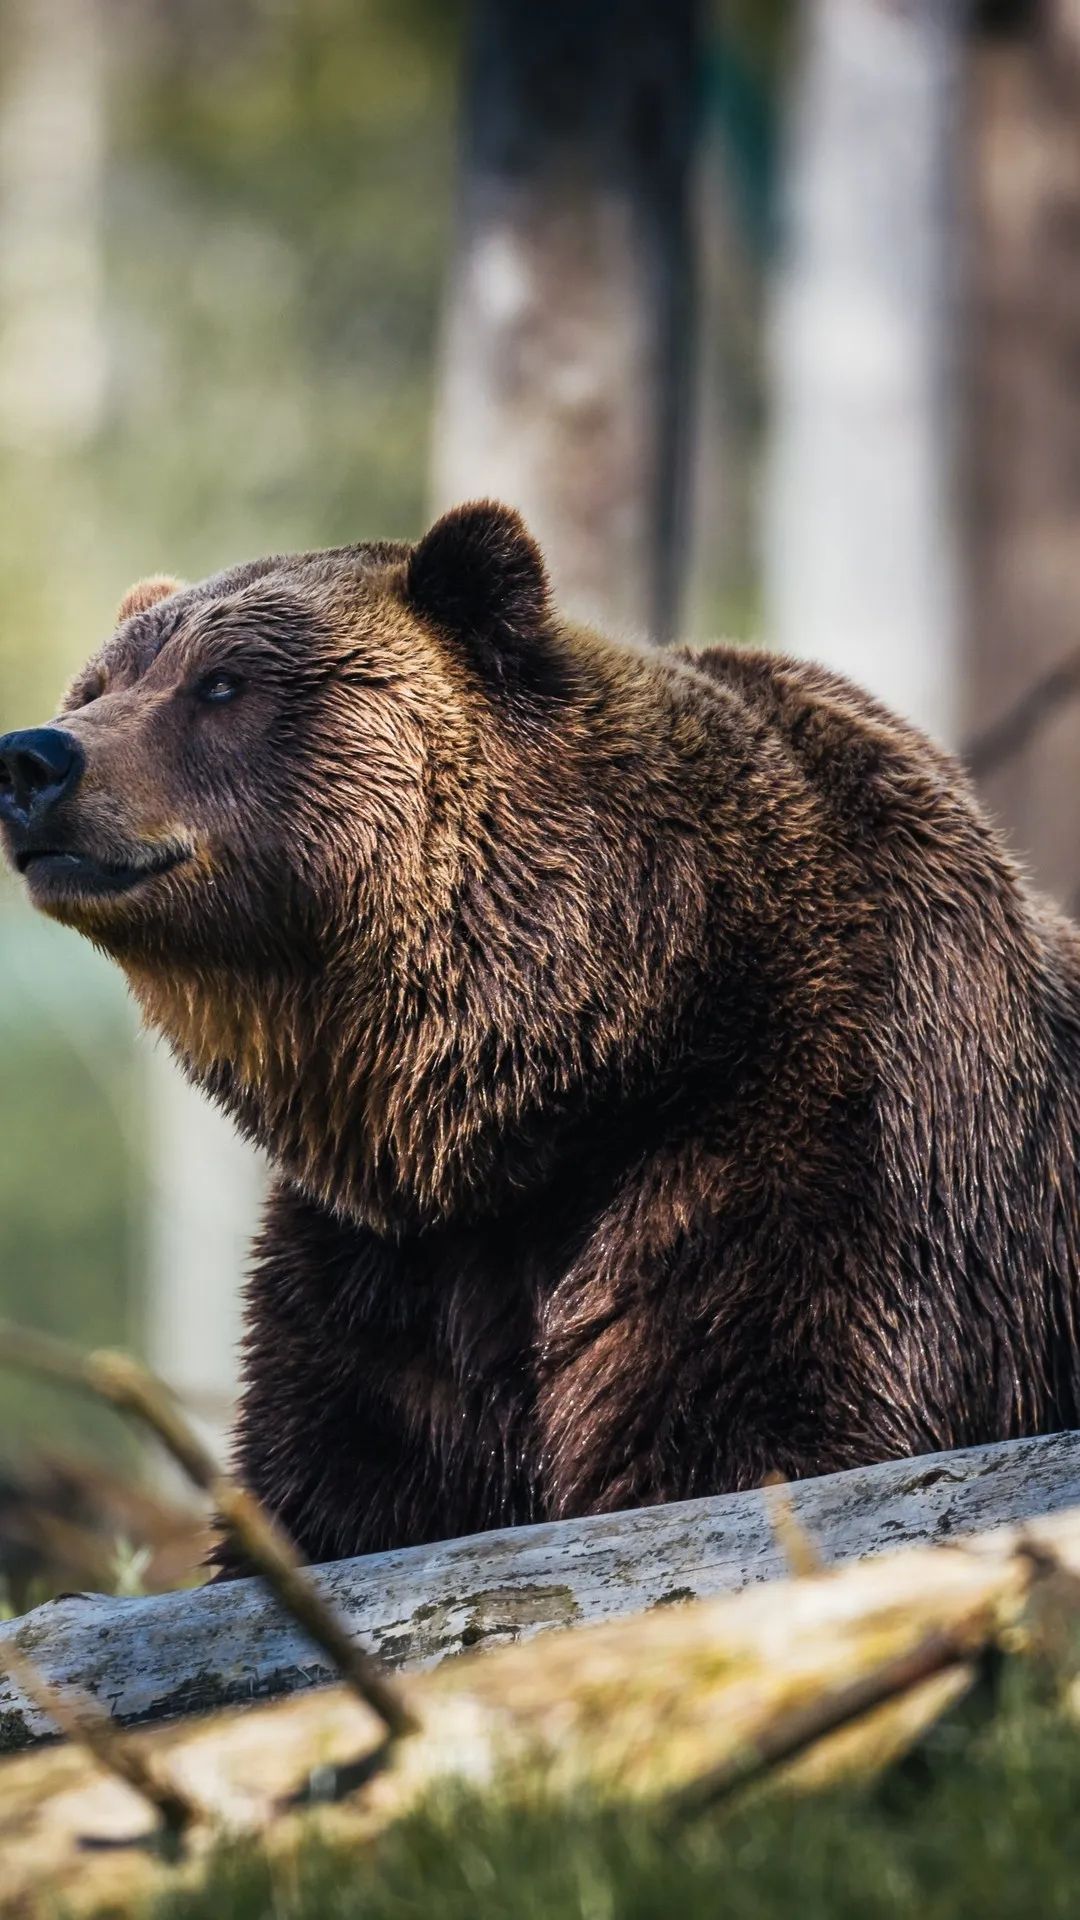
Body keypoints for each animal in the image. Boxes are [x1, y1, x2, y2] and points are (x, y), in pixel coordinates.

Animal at [2, 498, 1080, 1573]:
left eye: (222, 682)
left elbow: (759, 1426)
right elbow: (334, 1483)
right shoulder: (390, 1274)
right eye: (99, 683)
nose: (35, 757)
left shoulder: (820, 1145)